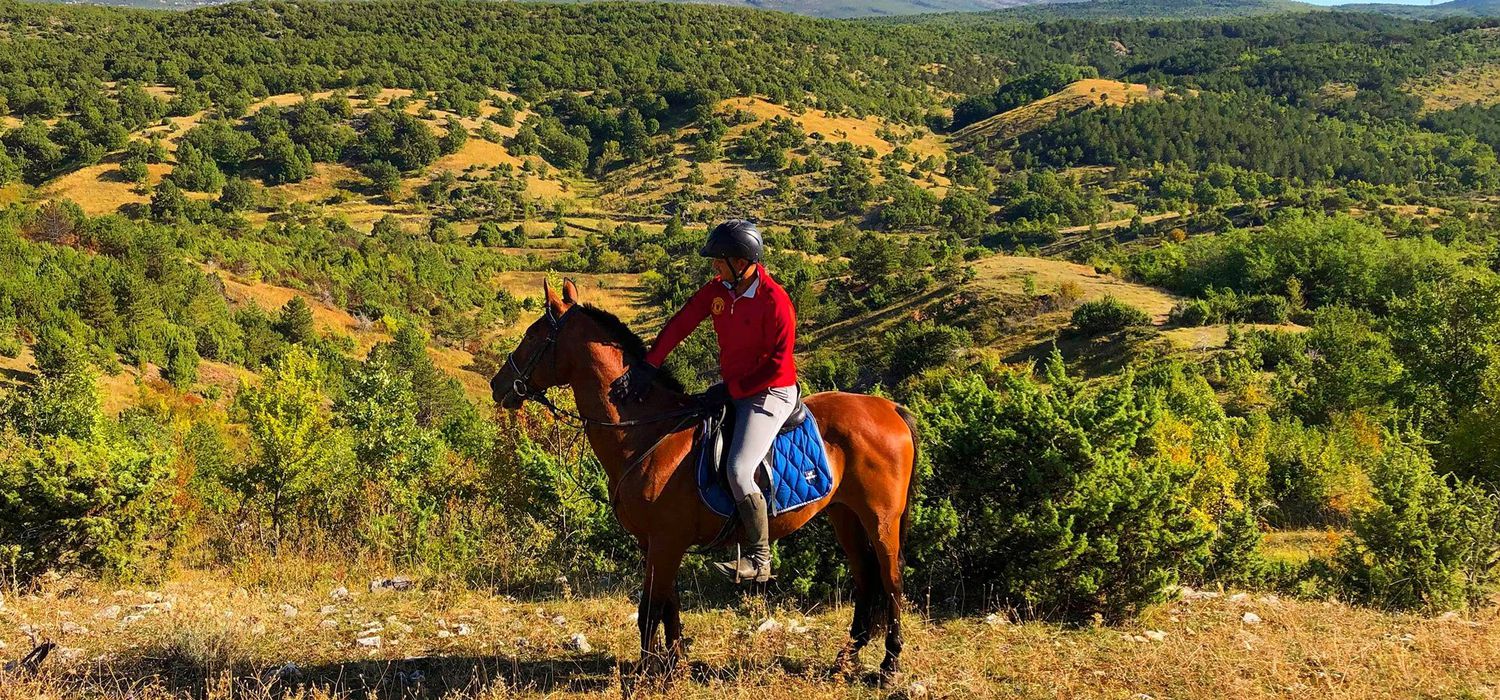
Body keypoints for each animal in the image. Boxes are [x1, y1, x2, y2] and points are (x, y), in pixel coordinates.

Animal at [492, 278, 918, 680]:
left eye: (532, 335)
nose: (499, 385)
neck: (646, 432)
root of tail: (890, 409)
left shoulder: (666, 541)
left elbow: (650, 608)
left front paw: (646, 674)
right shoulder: (656, 542)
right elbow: (668, 605)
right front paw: (674, 665)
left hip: (881, 519)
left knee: (892, 581)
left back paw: (888, 665)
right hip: (844, 514)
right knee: (866, 581)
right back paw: (846, 659)